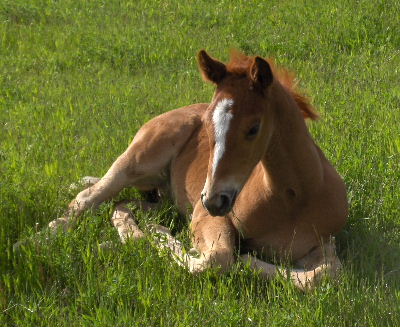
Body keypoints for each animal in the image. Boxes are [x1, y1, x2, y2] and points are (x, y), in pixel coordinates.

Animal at [50, 50, 348, 290]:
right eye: (206, 123)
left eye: (253, 128)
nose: (214, 200)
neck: (294, 197)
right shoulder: (205, 217)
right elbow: (216, 259)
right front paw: (162, 237)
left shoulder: (322, 242)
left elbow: (326, 274)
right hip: (139, 159)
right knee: (88, 197)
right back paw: (48, 237)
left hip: (162, 196)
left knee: (123, 204)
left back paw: (128, 233)